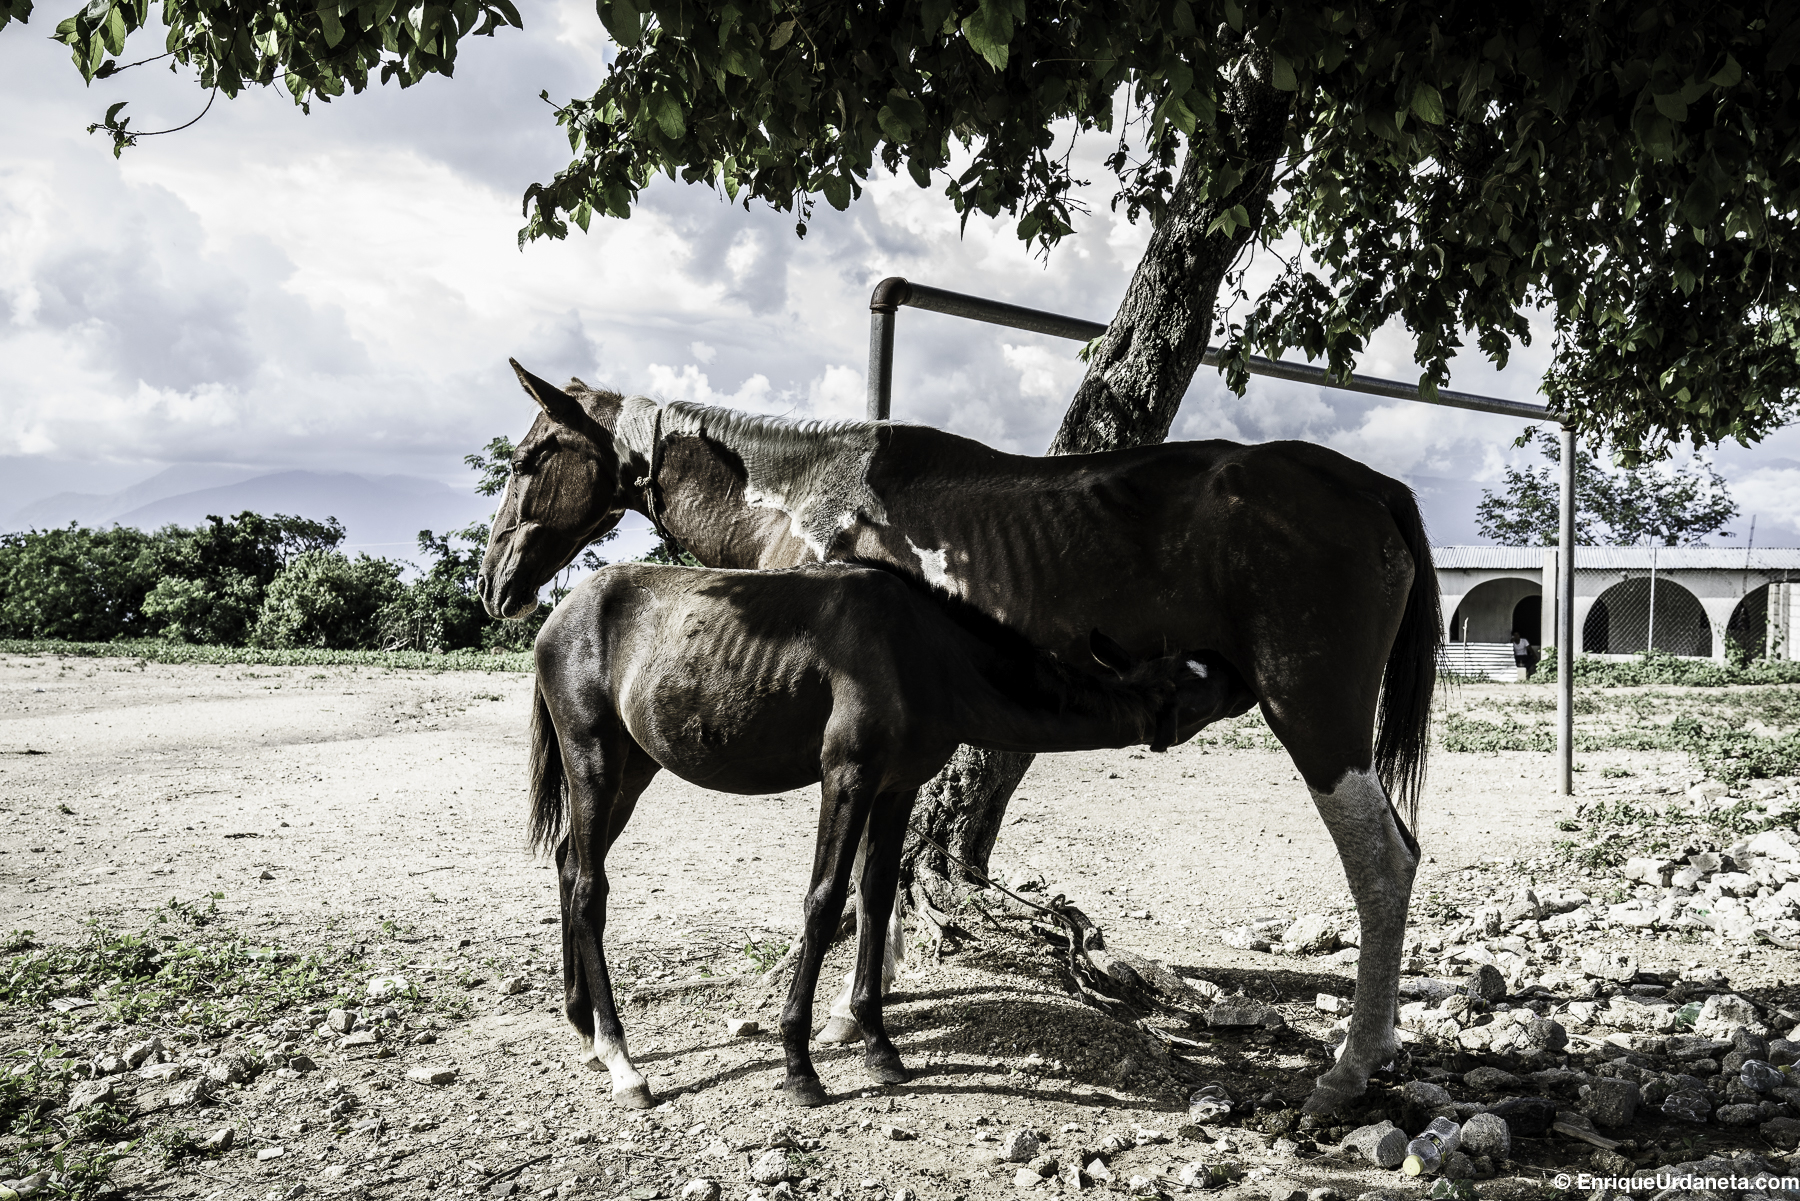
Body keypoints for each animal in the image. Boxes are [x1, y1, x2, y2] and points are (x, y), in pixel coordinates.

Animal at [486, 360, 1440, 1116]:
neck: (804, 496)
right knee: (577, 863)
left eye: (530, 459)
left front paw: (834, 1026)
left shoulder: (858, 760)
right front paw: (854, 1020)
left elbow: (851, 890)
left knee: (1383, 863)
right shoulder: (873, 764)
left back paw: (1350, 1068)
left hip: (1317, 722)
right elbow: (871, 888)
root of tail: (1376, 489)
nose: (496, 580)